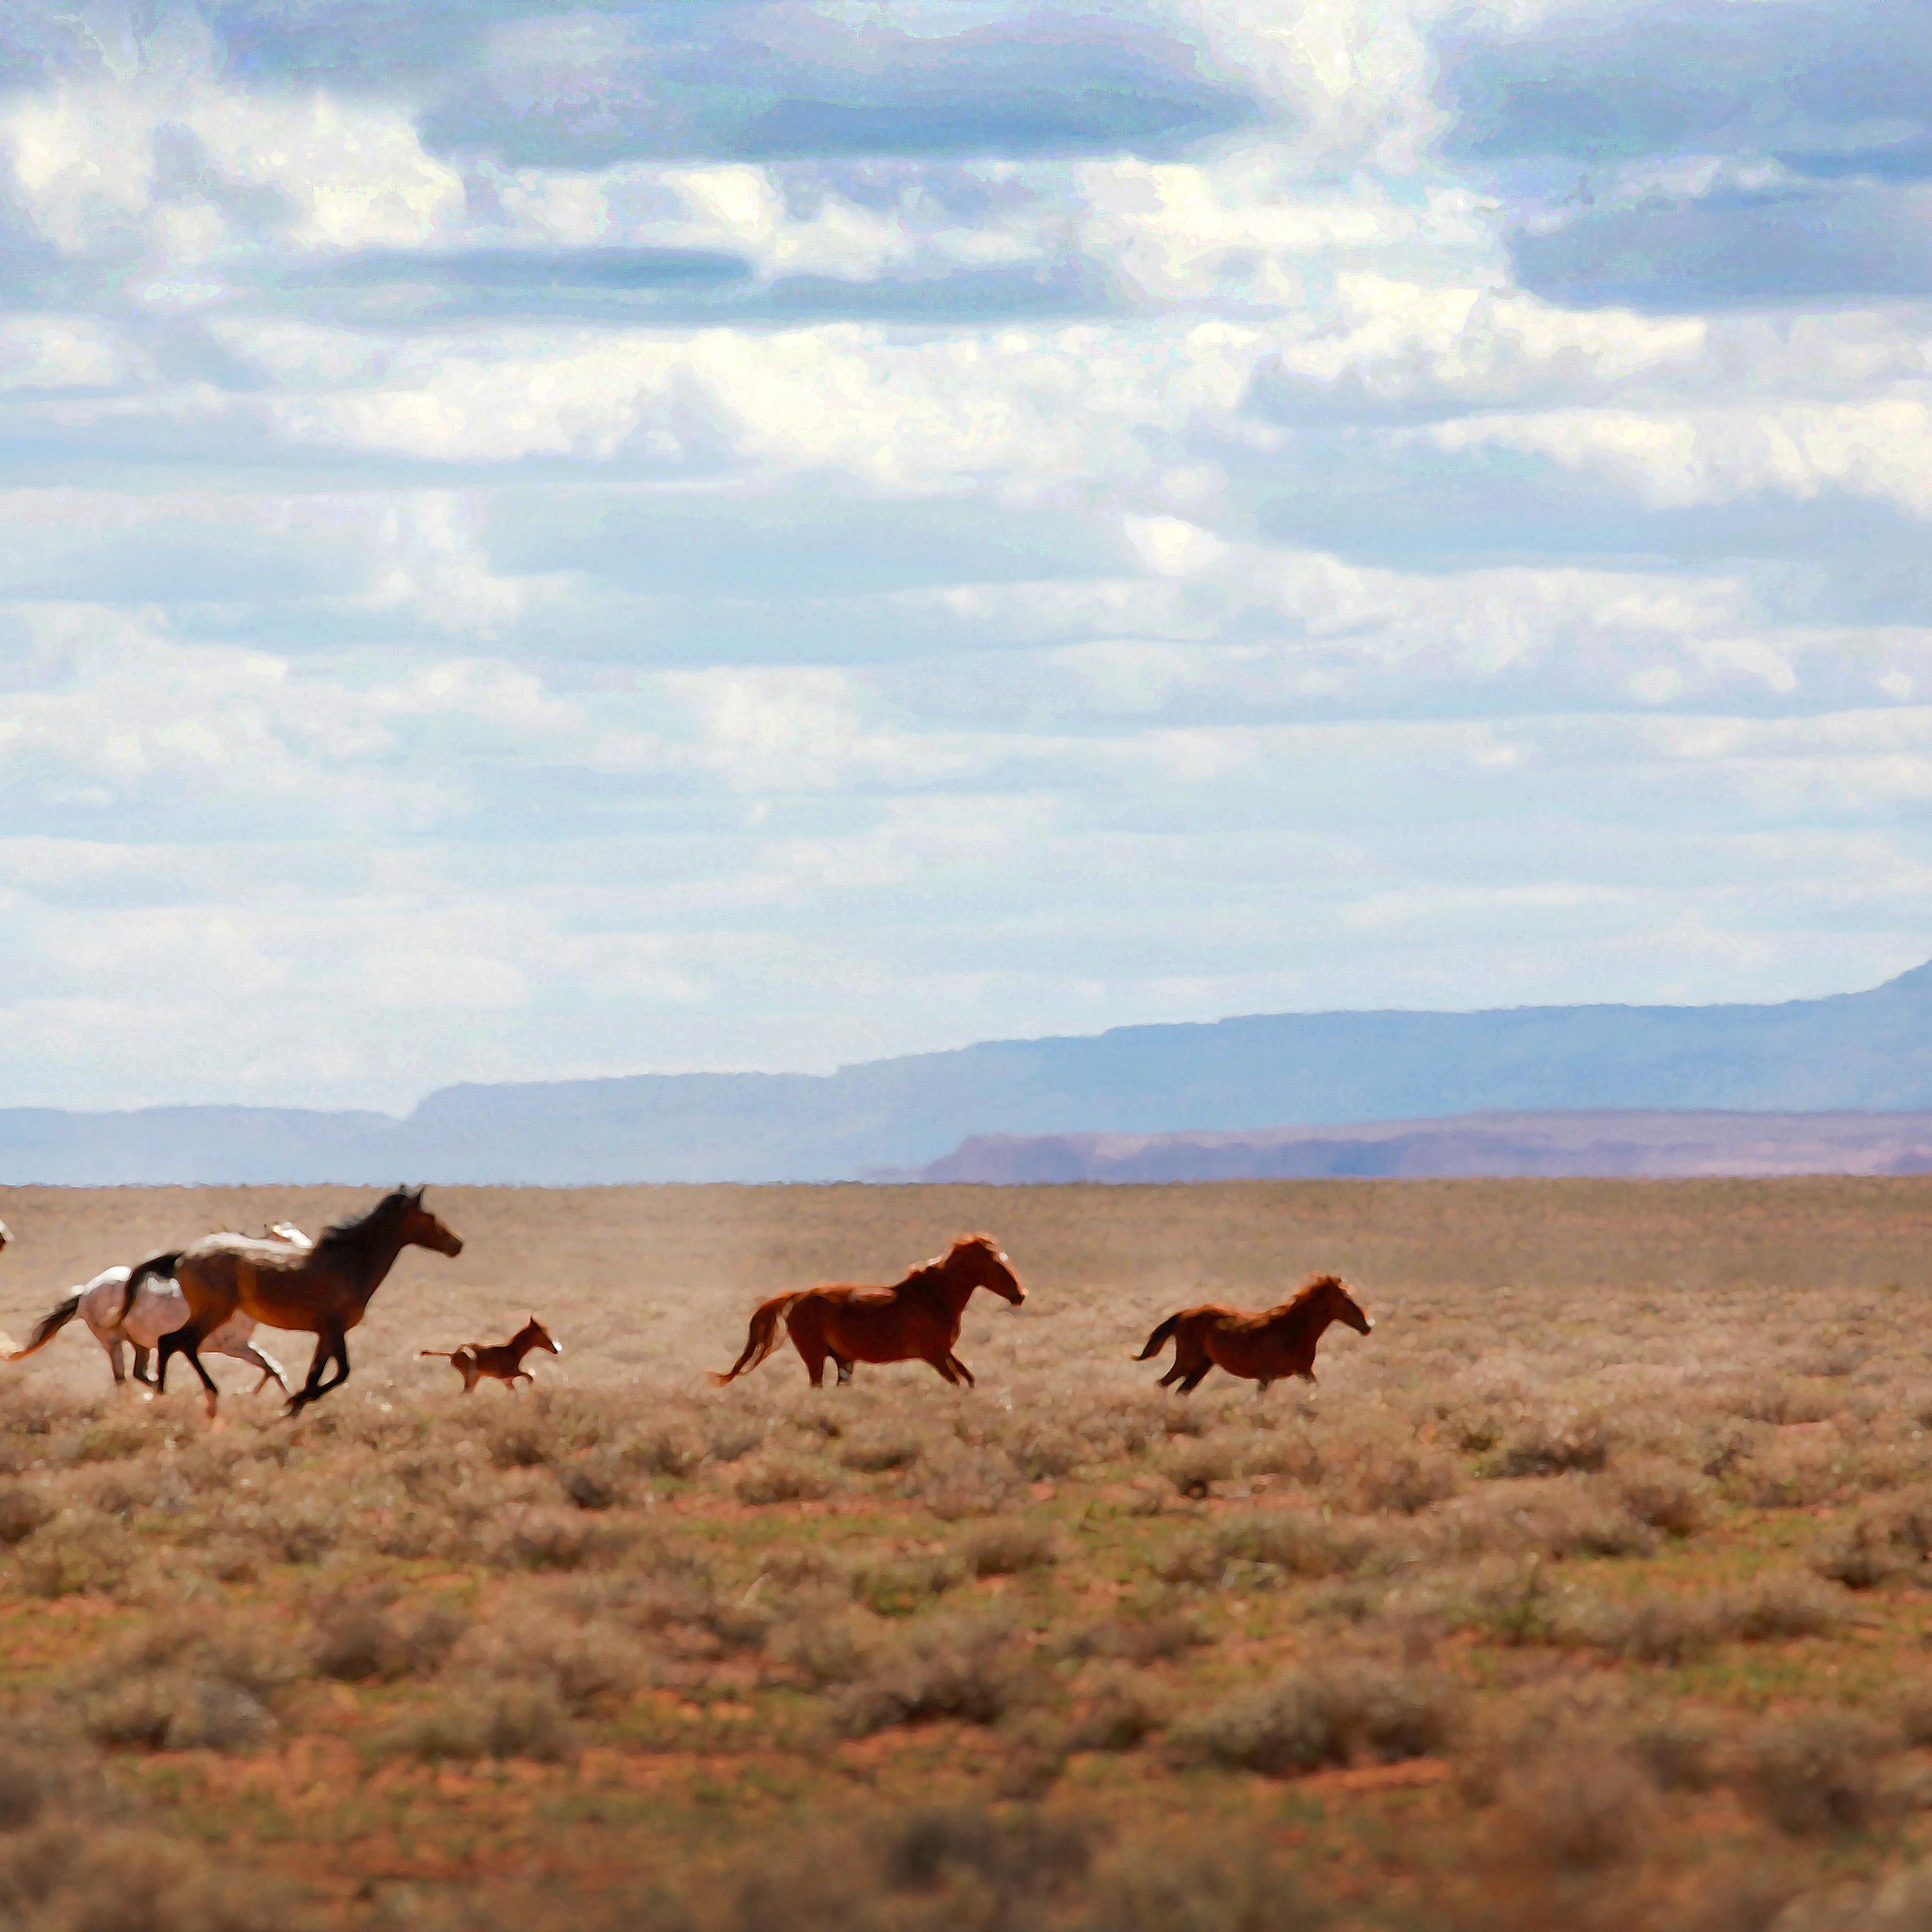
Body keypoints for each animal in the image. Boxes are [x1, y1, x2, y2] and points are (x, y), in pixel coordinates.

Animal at [7, 1222, 310, 1394]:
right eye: (287, 1240)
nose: (308, 1256)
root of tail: (86, 1291)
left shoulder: (241, 1345)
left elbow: (274, 1368)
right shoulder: (230, 1347)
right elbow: (272, 1368)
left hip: (140, 1343)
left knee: (139, 1373)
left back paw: (158, 1389)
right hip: (112, 1342)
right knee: (122, 1378)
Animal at [120, 1187, 463, 1418]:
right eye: (430, 1217)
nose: (457, 1245)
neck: (348, 1264)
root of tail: (183, 1257)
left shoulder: (325, 1334)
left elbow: (317, 1373)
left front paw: (294, 1406)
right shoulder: (335, 1329)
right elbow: (342, 1372)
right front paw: (294, 1402)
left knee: (174, 1343)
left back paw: (167, 1393)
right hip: (213, 1313)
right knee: (177, 1342)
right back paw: (193, 1395)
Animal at [421, 1315, 561, 1393]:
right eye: (542, 1331)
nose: (555, 1350)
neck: (512, 1351)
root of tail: (453, 1354)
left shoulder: (508, 1382)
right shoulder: (508, 1376)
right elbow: (530, 1377)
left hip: (474, 1379)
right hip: (471, 1378)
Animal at [712, 1234, 1024, 1389]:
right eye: (996, 1262)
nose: (1020, 1296)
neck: (936, 1298)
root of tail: (797, 1297)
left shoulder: (945, 1352)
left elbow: (969, 1380)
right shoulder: (934, 1356)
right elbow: (958, 1382)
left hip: (844, 1361)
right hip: (815, 1357)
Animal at [1134, 1274, 1374, 1392]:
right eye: (1345, 1298)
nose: (1367, 1327)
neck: (1292, 1331)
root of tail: (1184, 1315)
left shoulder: (1304, 1371)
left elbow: (1316, 1388)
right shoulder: (1266, 1377)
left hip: (1202, 1366)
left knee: (1181, 1391)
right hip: (1187, 1362)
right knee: (1163, 1383)